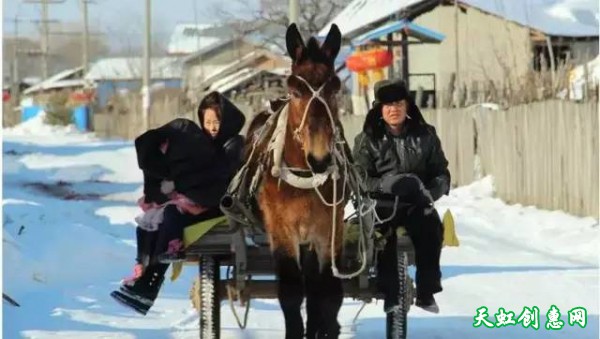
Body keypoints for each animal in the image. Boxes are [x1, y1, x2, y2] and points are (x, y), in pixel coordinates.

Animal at [244, 22, 346, 338]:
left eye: (335, 88)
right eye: (295, 90)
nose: (320, 157)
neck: (304, 181)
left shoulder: (329, 228)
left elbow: (327, 294)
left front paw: (326, 328)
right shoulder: (280, 228)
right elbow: (290, 292)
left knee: (313, 288)